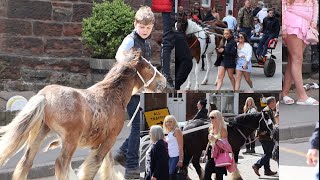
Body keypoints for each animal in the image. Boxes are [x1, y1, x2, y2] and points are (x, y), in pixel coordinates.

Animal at [0, 49, 166, 180]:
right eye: (149, 67)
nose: (163, 81)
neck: (113, 96)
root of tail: (44, 96)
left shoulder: (102, 142)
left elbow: (106, 163)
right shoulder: (110, 139)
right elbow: (94, 166)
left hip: (40, 133)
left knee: (25, 162)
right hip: (70, 140)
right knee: (61, 163)